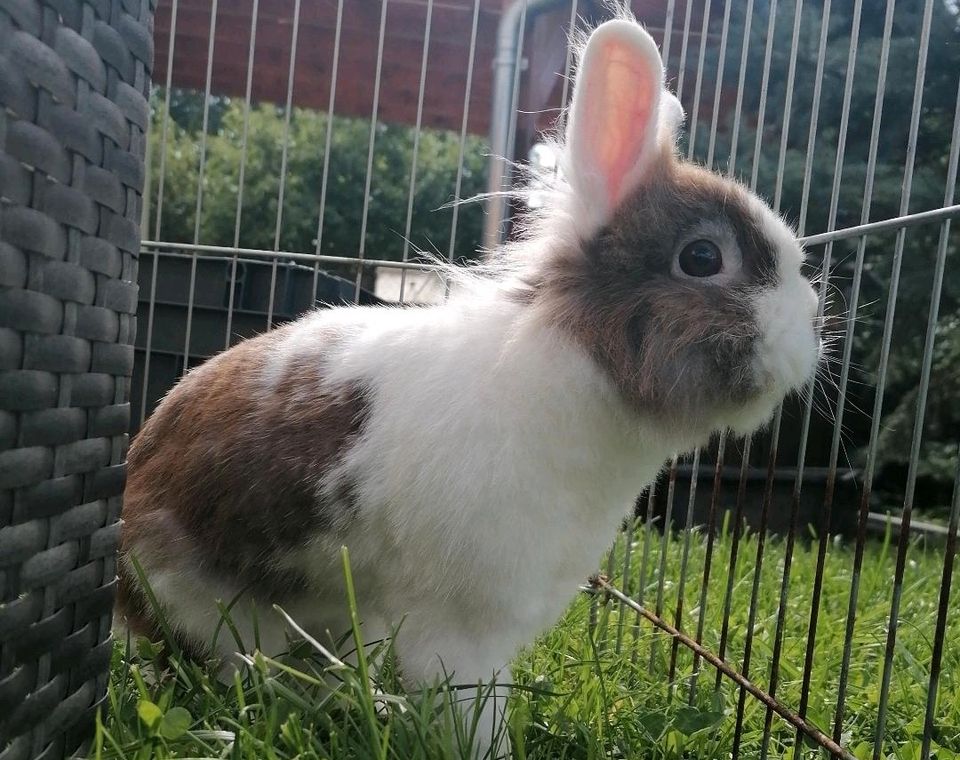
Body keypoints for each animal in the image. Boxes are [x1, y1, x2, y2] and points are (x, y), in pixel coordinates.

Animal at [112, 11, 816, 760]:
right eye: (703, 257)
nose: (812, 324)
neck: (578, 374)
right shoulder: (462, 626)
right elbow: (471, 710)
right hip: (212, 607)